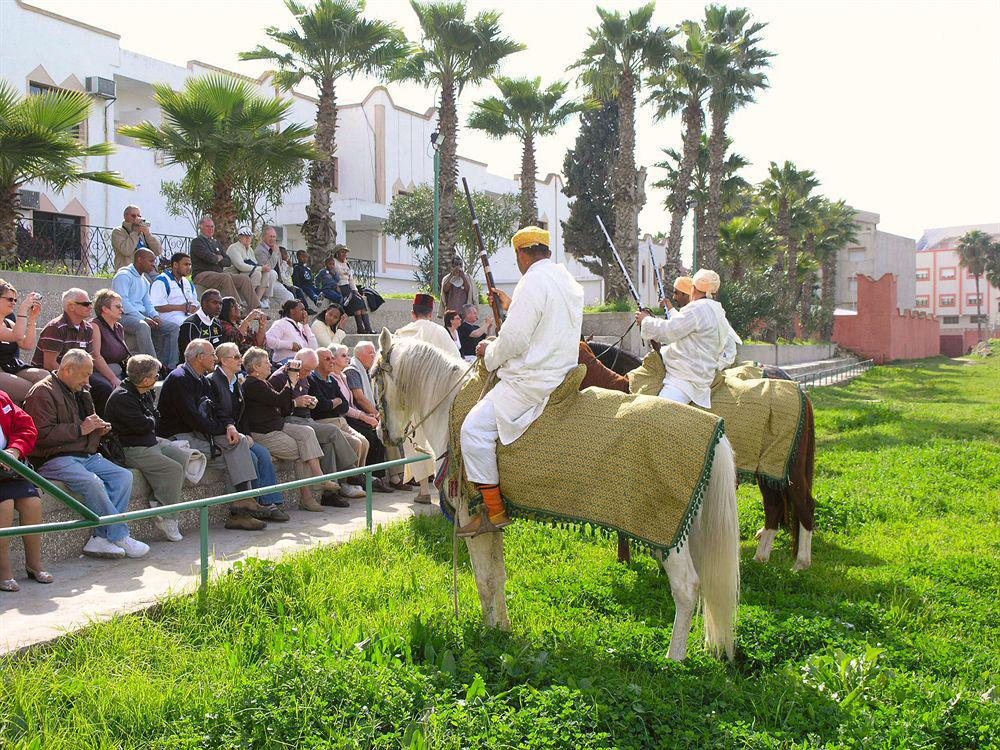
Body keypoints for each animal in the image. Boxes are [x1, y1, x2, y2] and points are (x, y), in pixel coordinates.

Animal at [376, 332, 744, 660]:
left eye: (376, 378)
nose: (384, 435)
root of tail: (715, 430)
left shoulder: (470, 518)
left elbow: (484, 579)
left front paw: (487, 631)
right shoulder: (490, 523)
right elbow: (497, 576)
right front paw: (501, 629)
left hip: (665, 533)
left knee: (686, 587)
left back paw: (673, 658)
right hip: (688, 529)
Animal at [584, 340, 816, 568]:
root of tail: (800, 392)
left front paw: (627, 558)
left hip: (790, 470)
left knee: (804, 504)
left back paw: (801, 562)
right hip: (768, 470)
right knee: (774, 505)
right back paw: (761, 556)